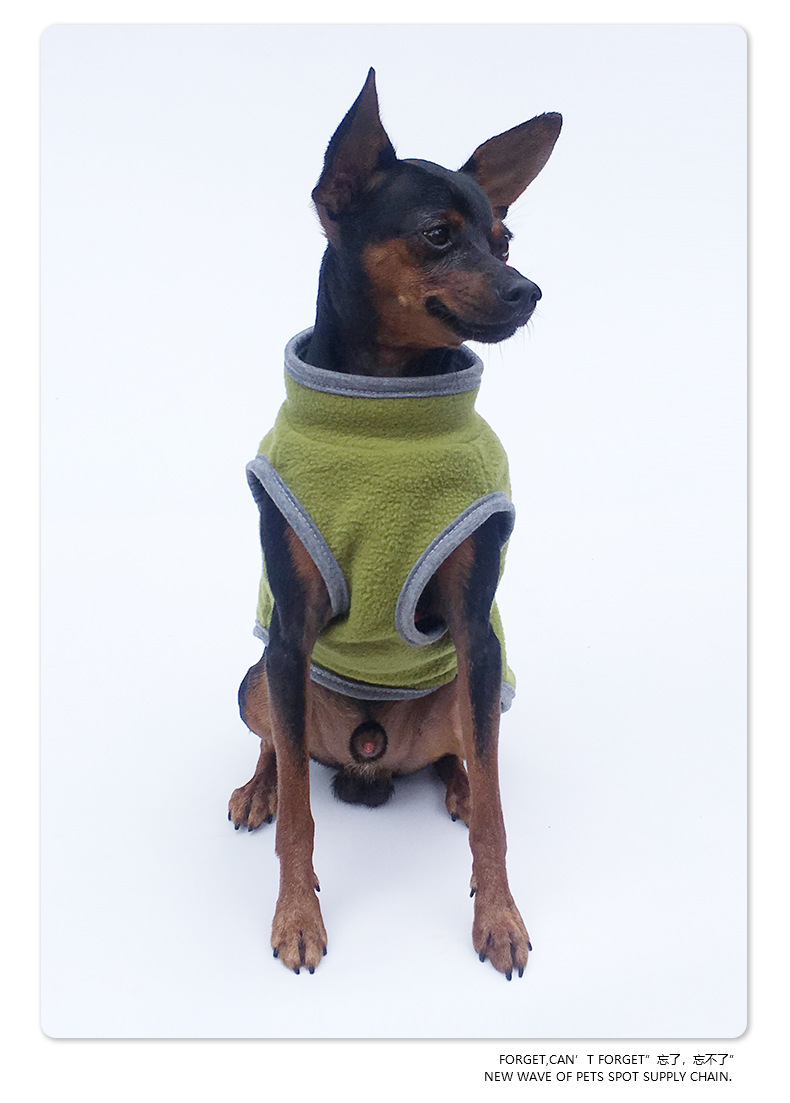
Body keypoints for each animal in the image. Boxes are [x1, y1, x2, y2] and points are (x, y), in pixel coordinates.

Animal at [229, 70, 561, 978]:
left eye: (505, 240)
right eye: (438, 236)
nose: (528, 290)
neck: (387, 406)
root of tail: (371, 758)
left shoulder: (478, 634)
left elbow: (498, 815)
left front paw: (499, 916)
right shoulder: (289, 633)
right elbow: (301, 816)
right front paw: (297, 915)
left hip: (477, 687)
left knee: (471, 755)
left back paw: (457, 786)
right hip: (259, 679)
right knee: (281, 746)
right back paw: (258, 786)